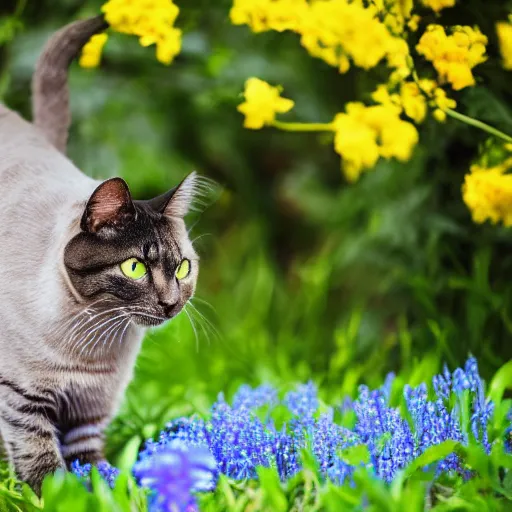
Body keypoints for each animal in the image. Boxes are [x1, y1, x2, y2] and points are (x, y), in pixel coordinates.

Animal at [0, 14, 204, 492]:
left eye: (183, 268)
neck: (93, 346)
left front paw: (105, 490)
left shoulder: (90, 411)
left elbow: (89, 465)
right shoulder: (21, 397)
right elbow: (43, 466)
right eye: (134, 267)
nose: (171, 304)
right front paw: (54, 494)